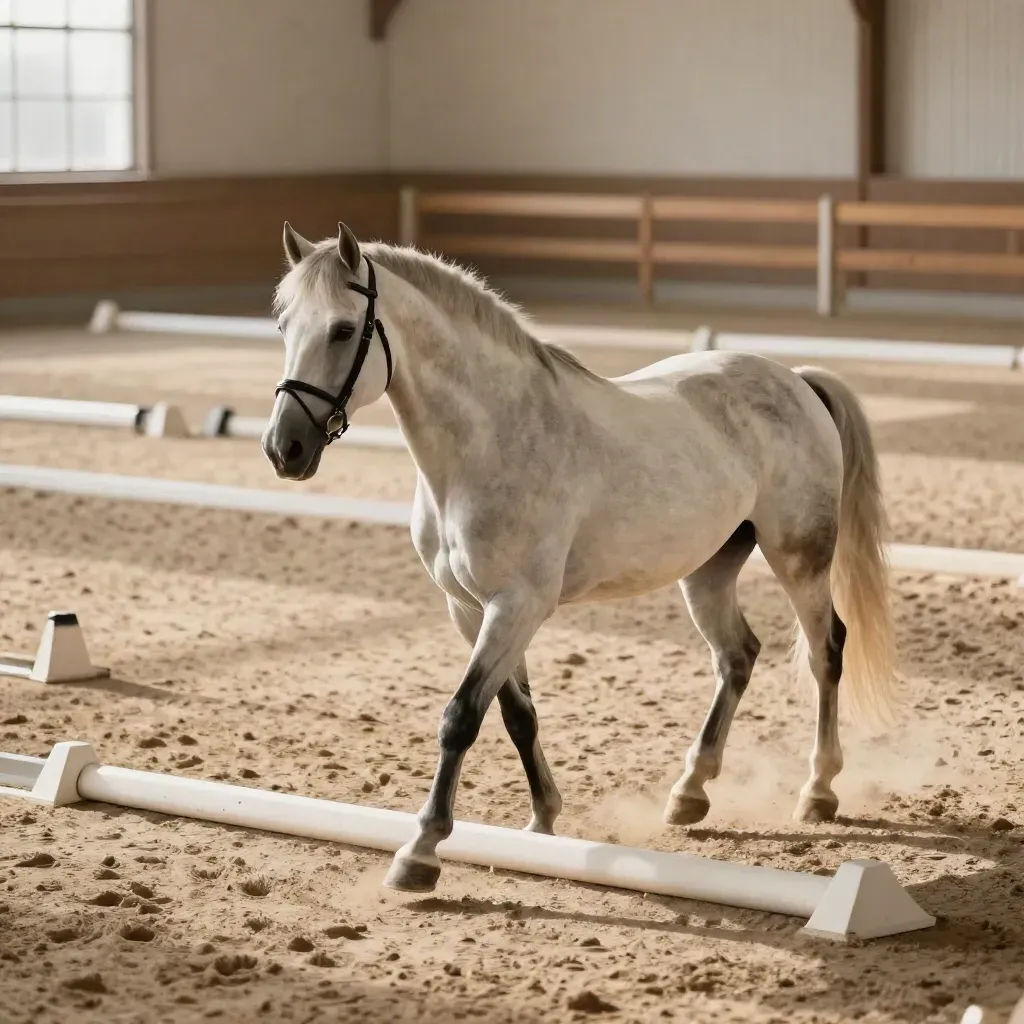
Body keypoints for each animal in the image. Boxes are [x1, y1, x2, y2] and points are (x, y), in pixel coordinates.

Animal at [262, 221, 898, 893]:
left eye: (342, 330)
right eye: (283, 326)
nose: (284, 450)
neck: (489, 442)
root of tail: (795, 380)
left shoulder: (517, 606)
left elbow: (461, 716)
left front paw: (421, 851)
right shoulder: (469, 608)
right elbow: (516, 715)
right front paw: (543, 819)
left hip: (799, 558)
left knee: (827, 650)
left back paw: (818, 791)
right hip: (708, 569)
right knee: (737, 656)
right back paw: (689, 792)